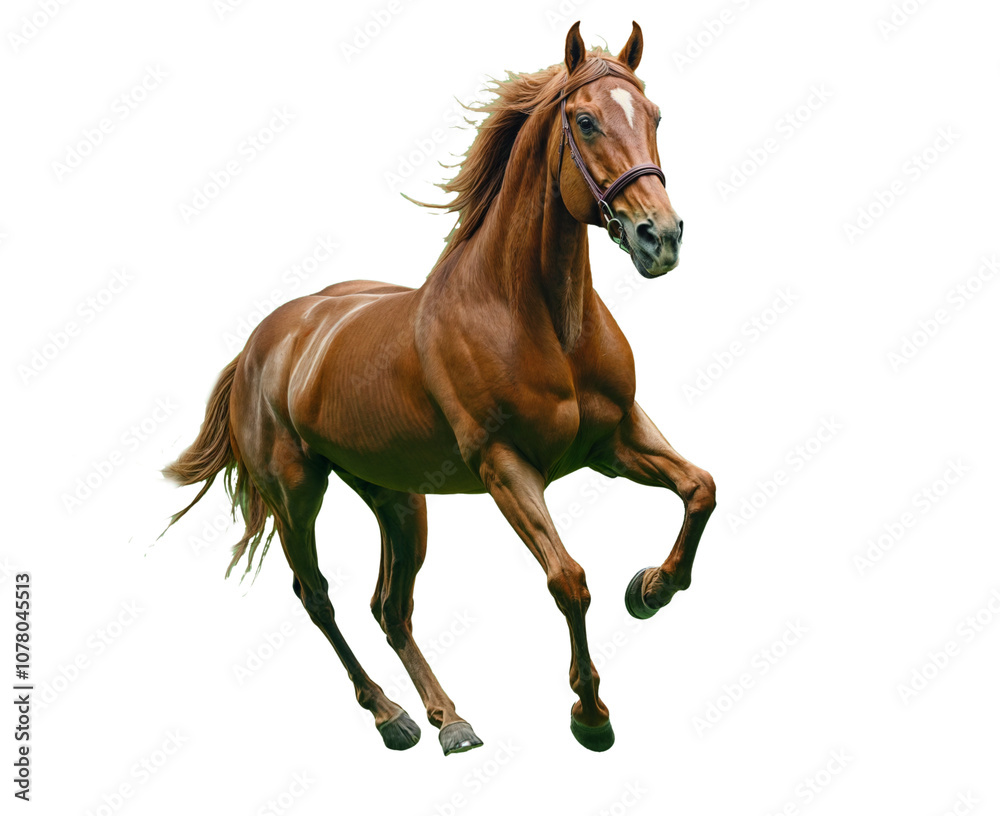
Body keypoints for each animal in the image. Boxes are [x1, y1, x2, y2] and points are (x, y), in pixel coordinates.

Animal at [164, 21, 716, 755]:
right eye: (586, 120)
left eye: (654, 116)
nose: (661, 238)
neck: (532, 315)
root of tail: (259, 345)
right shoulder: (506, 467)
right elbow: (568, 580)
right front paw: (590, 716)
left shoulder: (616, 439)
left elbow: (700, 489)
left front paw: (651, 589)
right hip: (295, 495)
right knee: (318, 597)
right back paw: (390, 715)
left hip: (398, 501)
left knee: (389, 607)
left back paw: (449, 721)